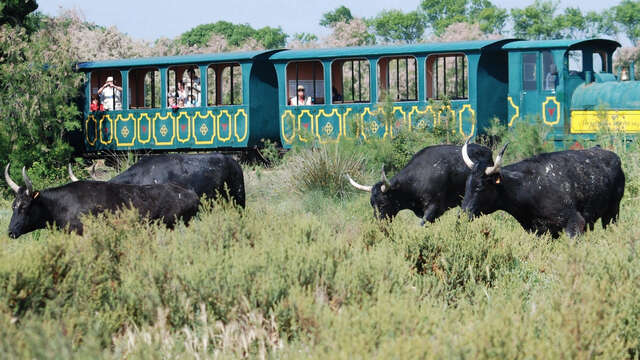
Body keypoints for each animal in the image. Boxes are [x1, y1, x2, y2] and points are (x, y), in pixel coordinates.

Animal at [460, 141, 624, 239]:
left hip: (612, 212)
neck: (527, 186)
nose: (462, 214)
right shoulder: (539, 231)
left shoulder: (575, 223)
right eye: (466, 184)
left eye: (480, 187)